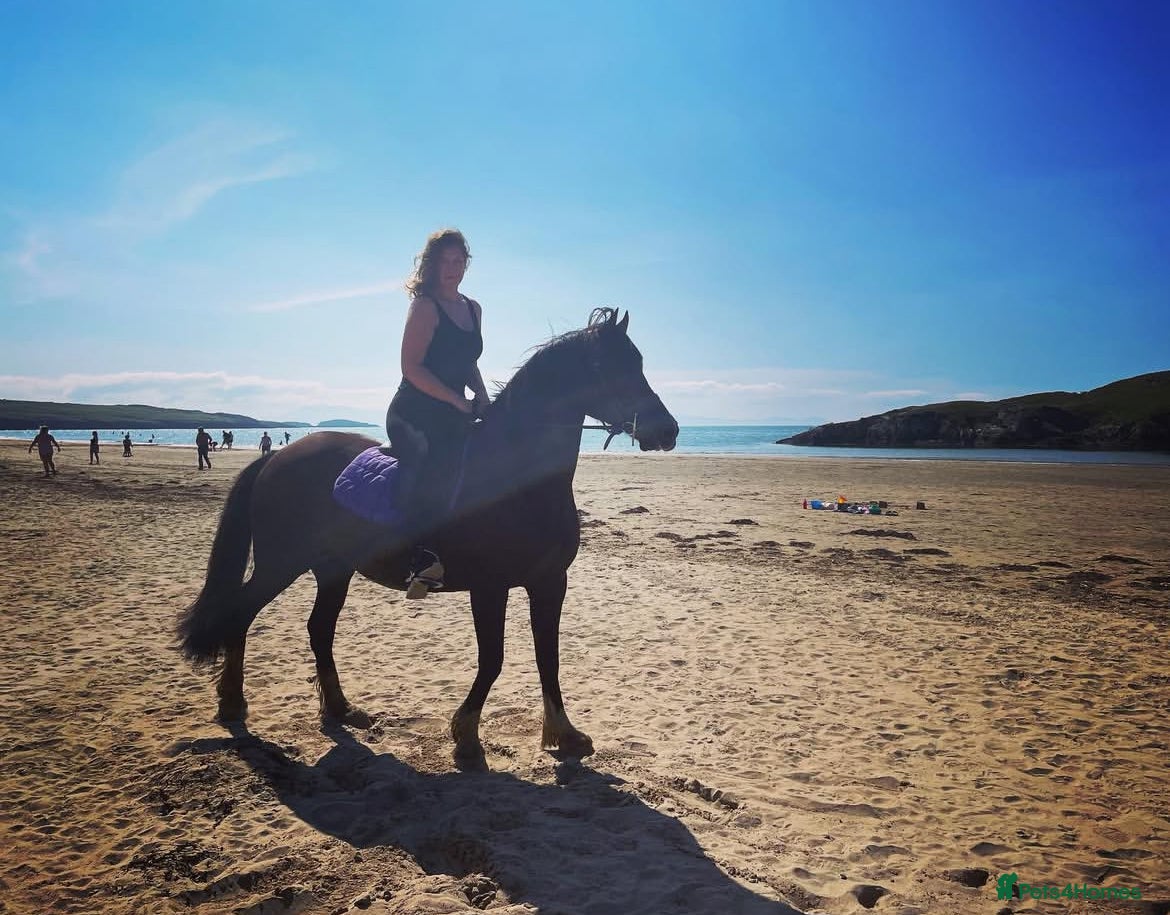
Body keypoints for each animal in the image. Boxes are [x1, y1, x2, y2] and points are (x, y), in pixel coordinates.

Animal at [177, 308, 679, 769]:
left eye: (637, 360)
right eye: (605, 365)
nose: (668, 430)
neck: (518, 476)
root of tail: (277, 458)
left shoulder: (550, 582)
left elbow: (548, 657)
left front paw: (564, 733)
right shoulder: (489, 586)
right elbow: (494, 658)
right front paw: (466, 734)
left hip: (333, 570)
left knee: (319, 629)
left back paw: (340, 709)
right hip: (281, 563)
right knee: (242, 614)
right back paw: (233, 702)